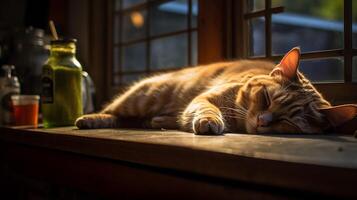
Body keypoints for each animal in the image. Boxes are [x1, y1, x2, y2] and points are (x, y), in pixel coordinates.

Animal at [75, 47, 356, 134]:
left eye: (288, 121)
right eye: (265, 98)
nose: (262, 122)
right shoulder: (205, 98)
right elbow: (207, 109)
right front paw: (210, 121)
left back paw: (156, 122)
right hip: (141, 97)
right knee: (114, 112)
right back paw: (90, 119)